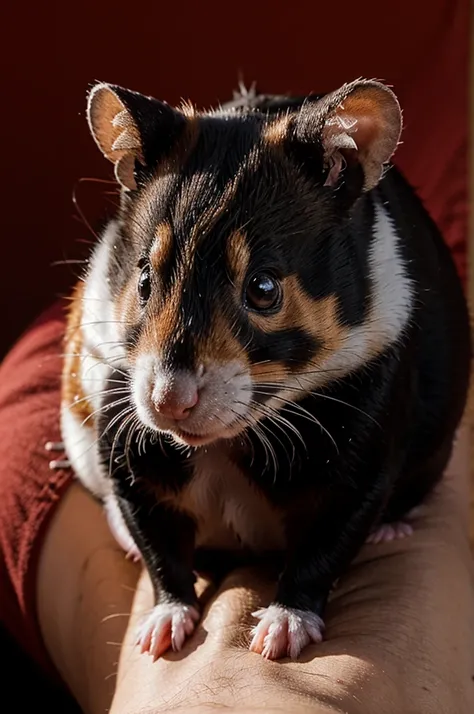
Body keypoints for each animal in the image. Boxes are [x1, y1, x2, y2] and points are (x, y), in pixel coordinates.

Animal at [52, 80, 470, 660]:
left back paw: (392, 531)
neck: (230, 441)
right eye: (143, 280)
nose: (166, 405)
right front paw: (160, 631)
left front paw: (279, 634)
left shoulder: (368, 435)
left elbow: (331, 538)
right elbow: (154, 536)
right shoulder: (123, 431)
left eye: (264, 287)